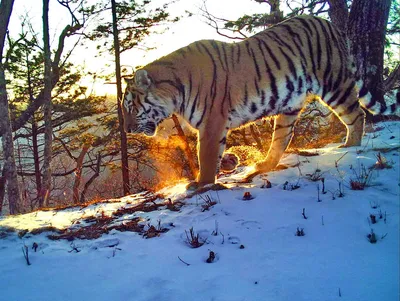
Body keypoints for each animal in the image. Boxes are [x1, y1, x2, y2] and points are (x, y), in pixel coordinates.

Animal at [122, 14, 400, 188]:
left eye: (130, 107)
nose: (126, 129)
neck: (175, 91)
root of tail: (330, 24)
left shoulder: (212, 123)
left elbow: (207, 156)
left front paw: (201, 183)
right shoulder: (215, 125)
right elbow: (217, 154)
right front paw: (226, 164)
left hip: (334, 83)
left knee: (356, 114)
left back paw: (350, 145)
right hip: (290, 104)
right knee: (282, 138)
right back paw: (265, 163)